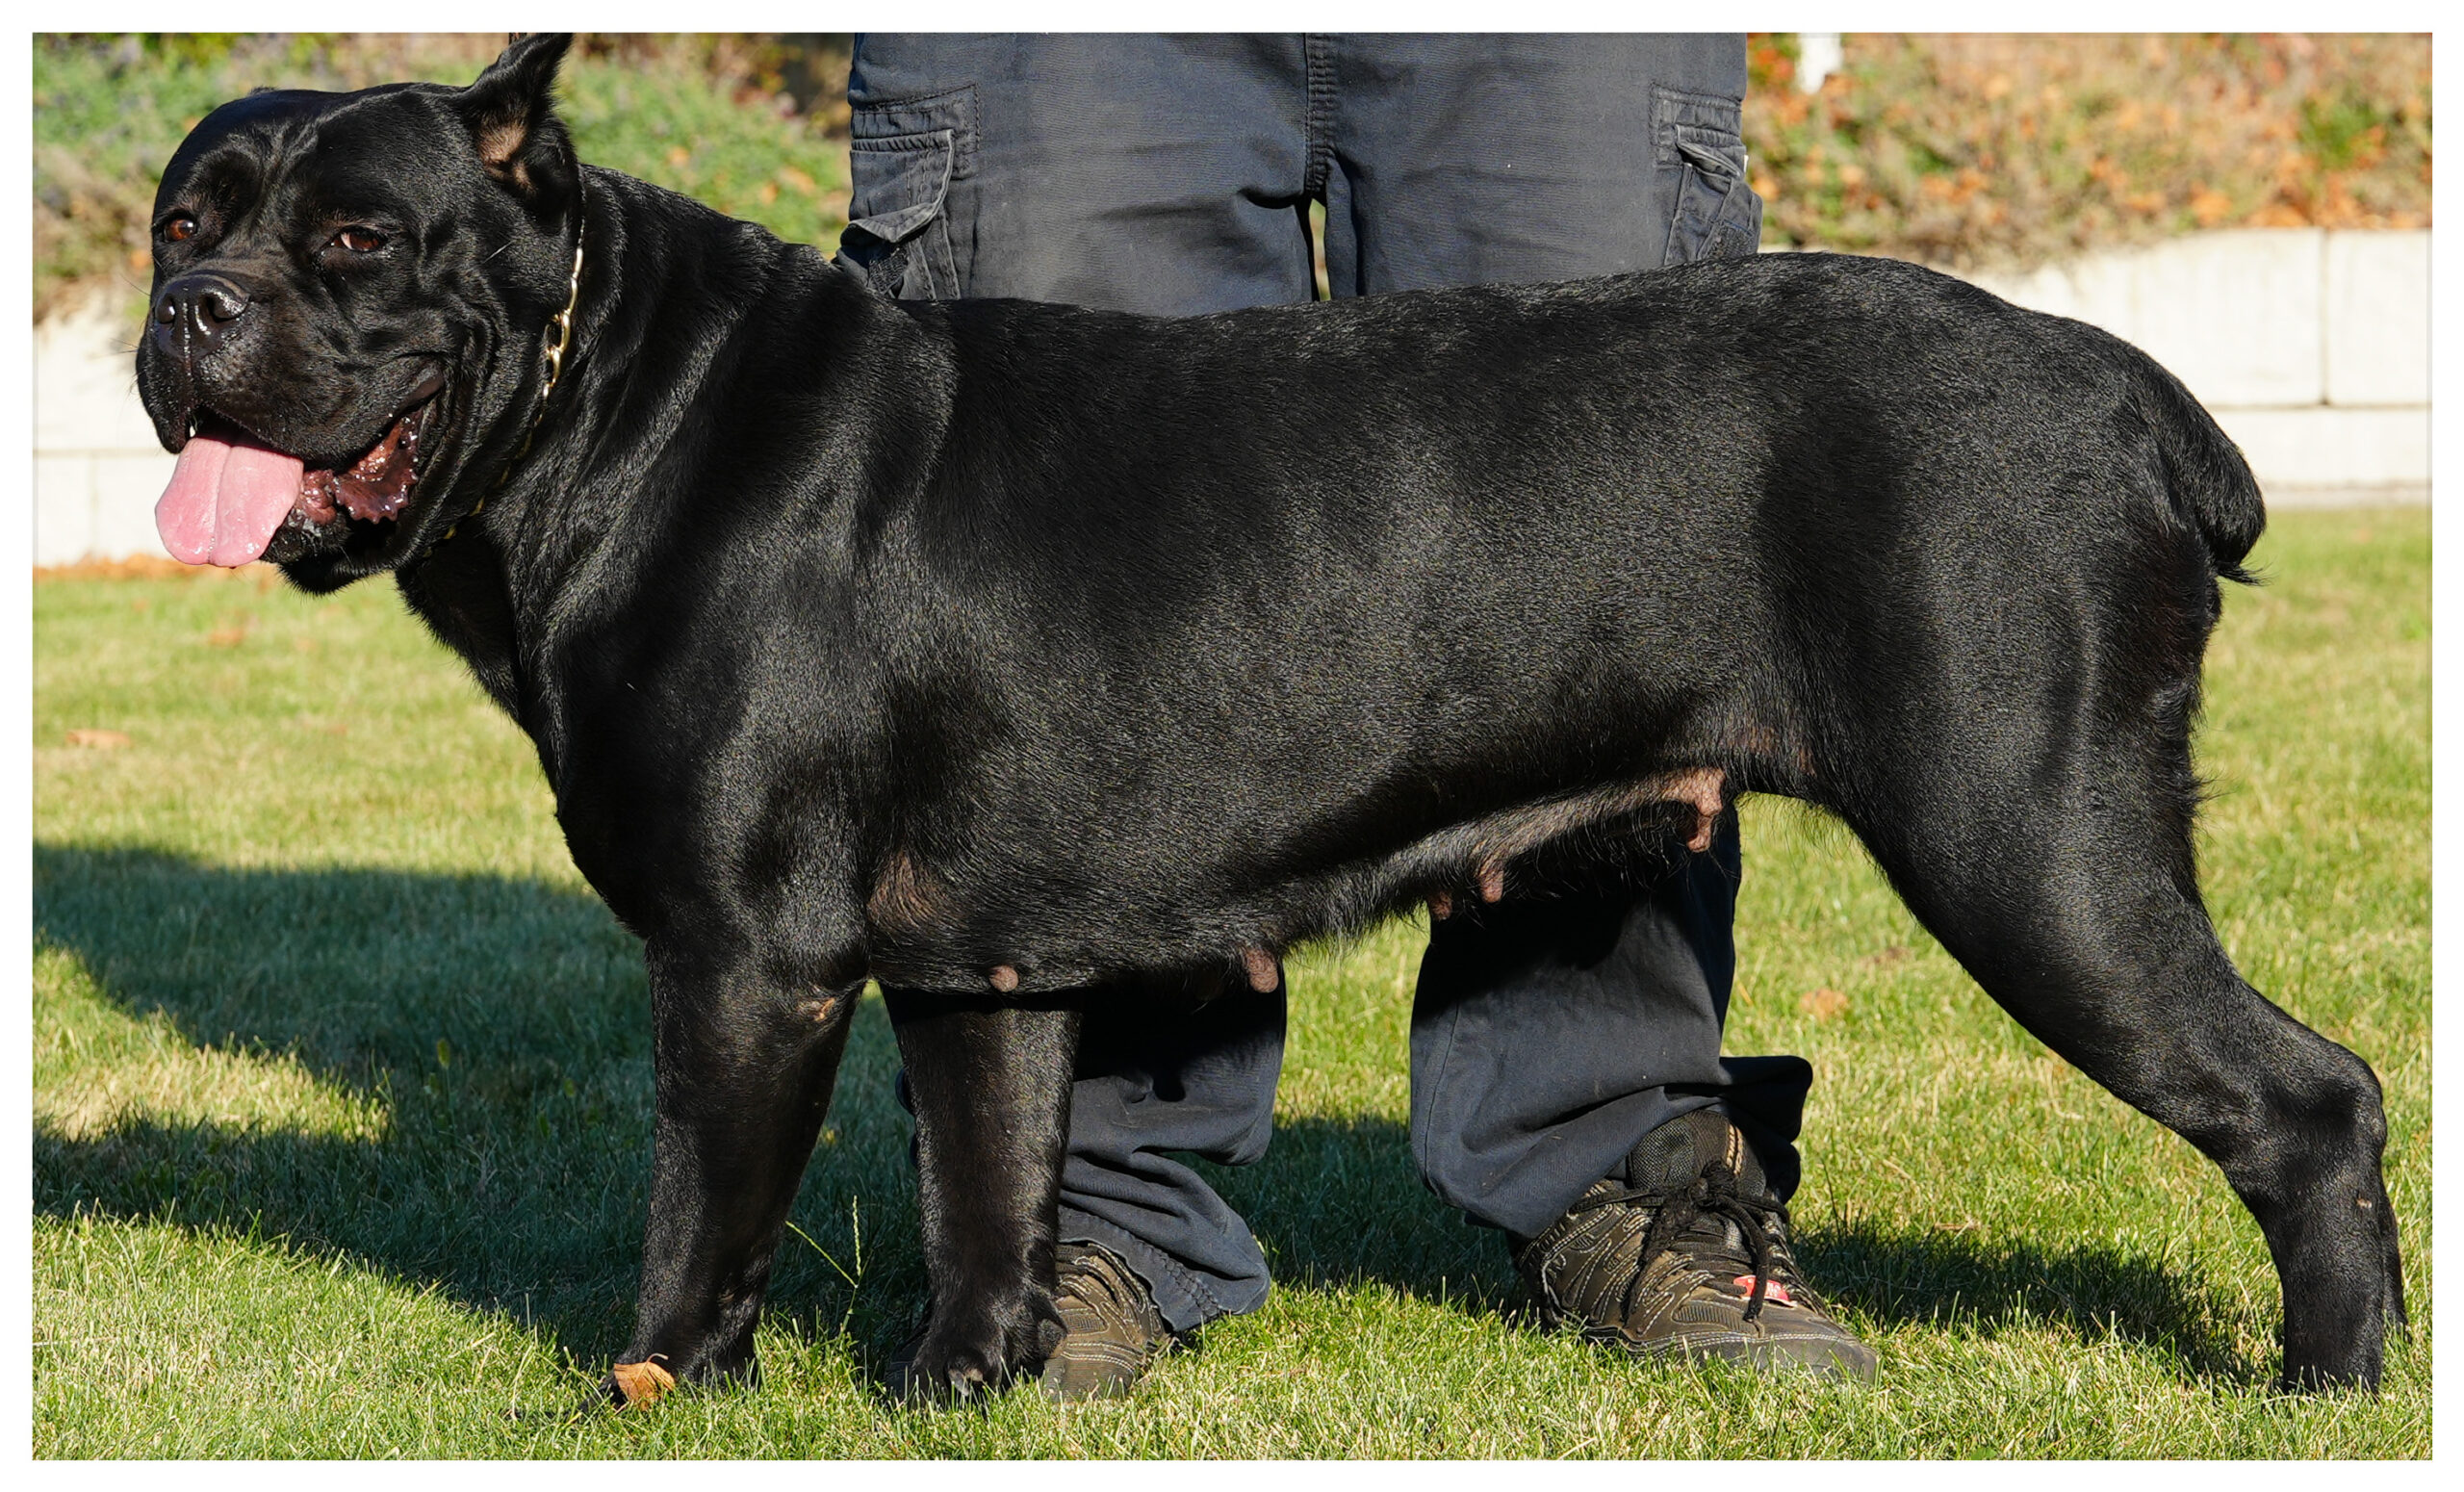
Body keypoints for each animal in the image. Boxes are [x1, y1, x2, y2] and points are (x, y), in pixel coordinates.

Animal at [140, 38, 2404, 1401]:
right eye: (186, 218)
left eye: (359, 238)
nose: (187, 316)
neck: (611, 403)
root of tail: (2134, 397)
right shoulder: (977, 969)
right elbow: (994, 1193)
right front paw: (968, 1391)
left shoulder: (744, 962)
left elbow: (697, 1231)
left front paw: (660, 1401)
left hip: (2027, 840)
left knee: (2304, 1100)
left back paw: (2324, 1384)